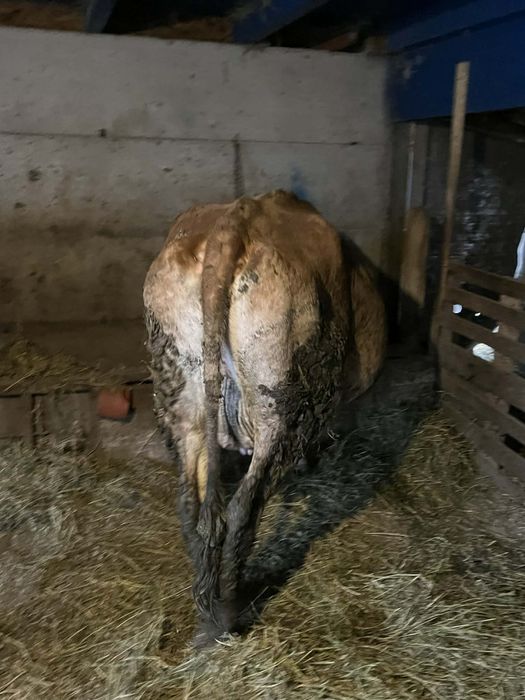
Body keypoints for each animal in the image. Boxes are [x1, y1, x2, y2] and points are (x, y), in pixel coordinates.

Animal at [143, 190, 386, 645]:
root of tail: (236, 217)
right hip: (277, 400)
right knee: (243, 507)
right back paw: (228, 613)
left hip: (182, 397)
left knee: (191, 506)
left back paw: (205, 610)